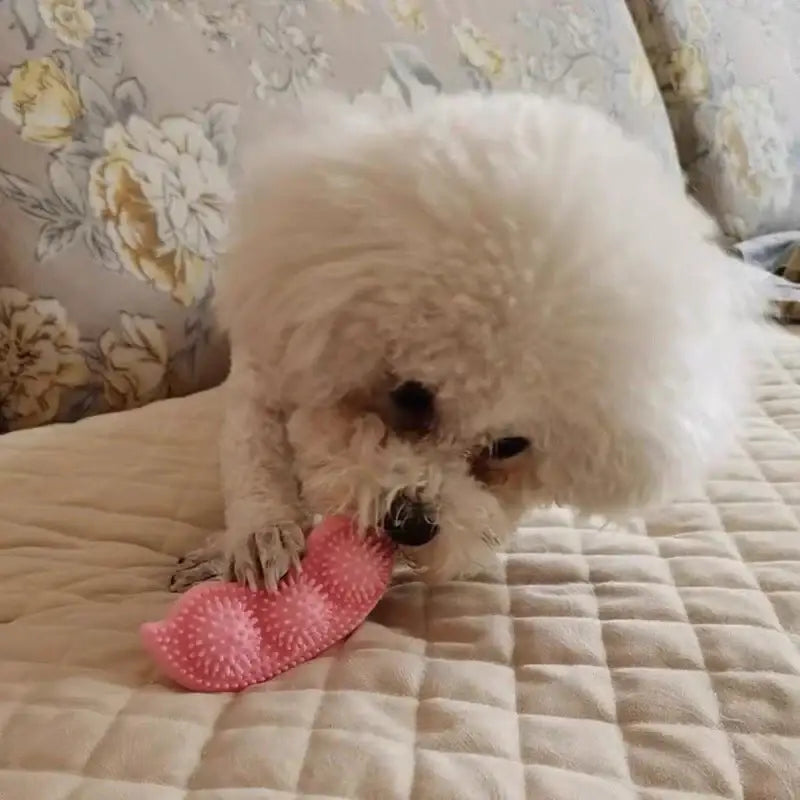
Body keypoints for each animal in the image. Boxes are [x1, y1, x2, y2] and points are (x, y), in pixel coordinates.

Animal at [172, 94, 764, 592]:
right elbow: (255, 459)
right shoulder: (266, 364)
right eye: (411, 395)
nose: (411, 524)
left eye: (509, 446)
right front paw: (259, 537)